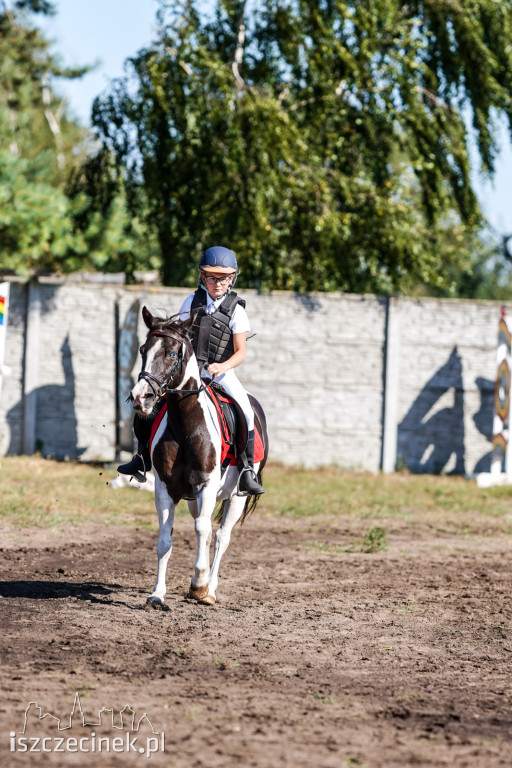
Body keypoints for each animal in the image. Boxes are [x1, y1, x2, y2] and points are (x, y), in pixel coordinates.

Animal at [130, 304, 270, 608]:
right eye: (143, 350)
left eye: (172, 354)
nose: (140, 397)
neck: (185, 424)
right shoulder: (165, 488)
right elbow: (165, 541)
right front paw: (157, 594)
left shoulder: (206, 485)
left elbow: (204, 530)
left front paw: (199, 586)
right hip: (194, 498)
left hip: (237, 496)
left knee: (220, 537)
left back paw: (210, 589)